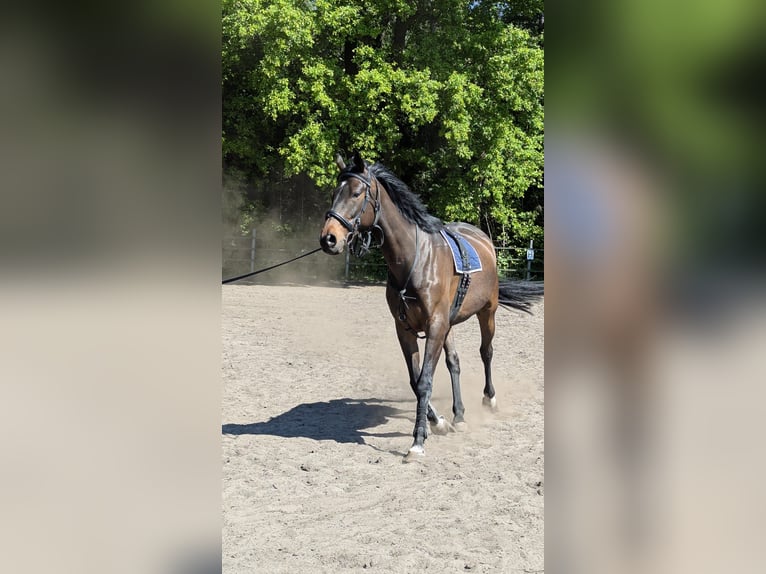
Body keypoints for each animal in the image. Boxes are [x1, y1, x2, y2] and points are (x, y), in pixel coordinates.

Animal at [319, 152, 542, 458]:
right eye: (333, 193)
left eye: (355, 193)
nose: (329, 238)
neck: (415, 259)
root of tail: (484, 240)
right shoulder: (406, 329)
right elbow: (416, 380)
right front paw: (439, 422)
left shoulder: (435, 326)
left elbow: (425, 380)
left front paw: (417, 441)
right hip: (449, 324)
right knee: (454, 362)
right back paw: (459, 415)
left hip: (487, 312)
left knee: (486, 352)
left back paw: (490, 399)